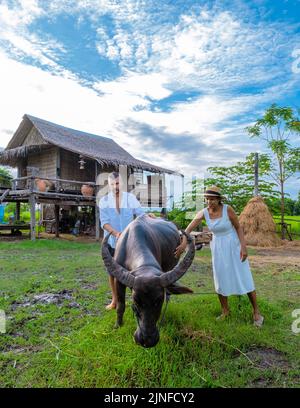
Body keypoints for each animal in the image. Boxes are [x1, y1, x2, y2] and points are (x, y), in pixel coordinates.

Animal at [101, 214, 195, 348]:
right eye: (135, 301)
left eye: (159, 300)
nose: (147, 340)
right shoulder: (119, 281)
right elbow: (120, 306)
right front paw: (117, 325)